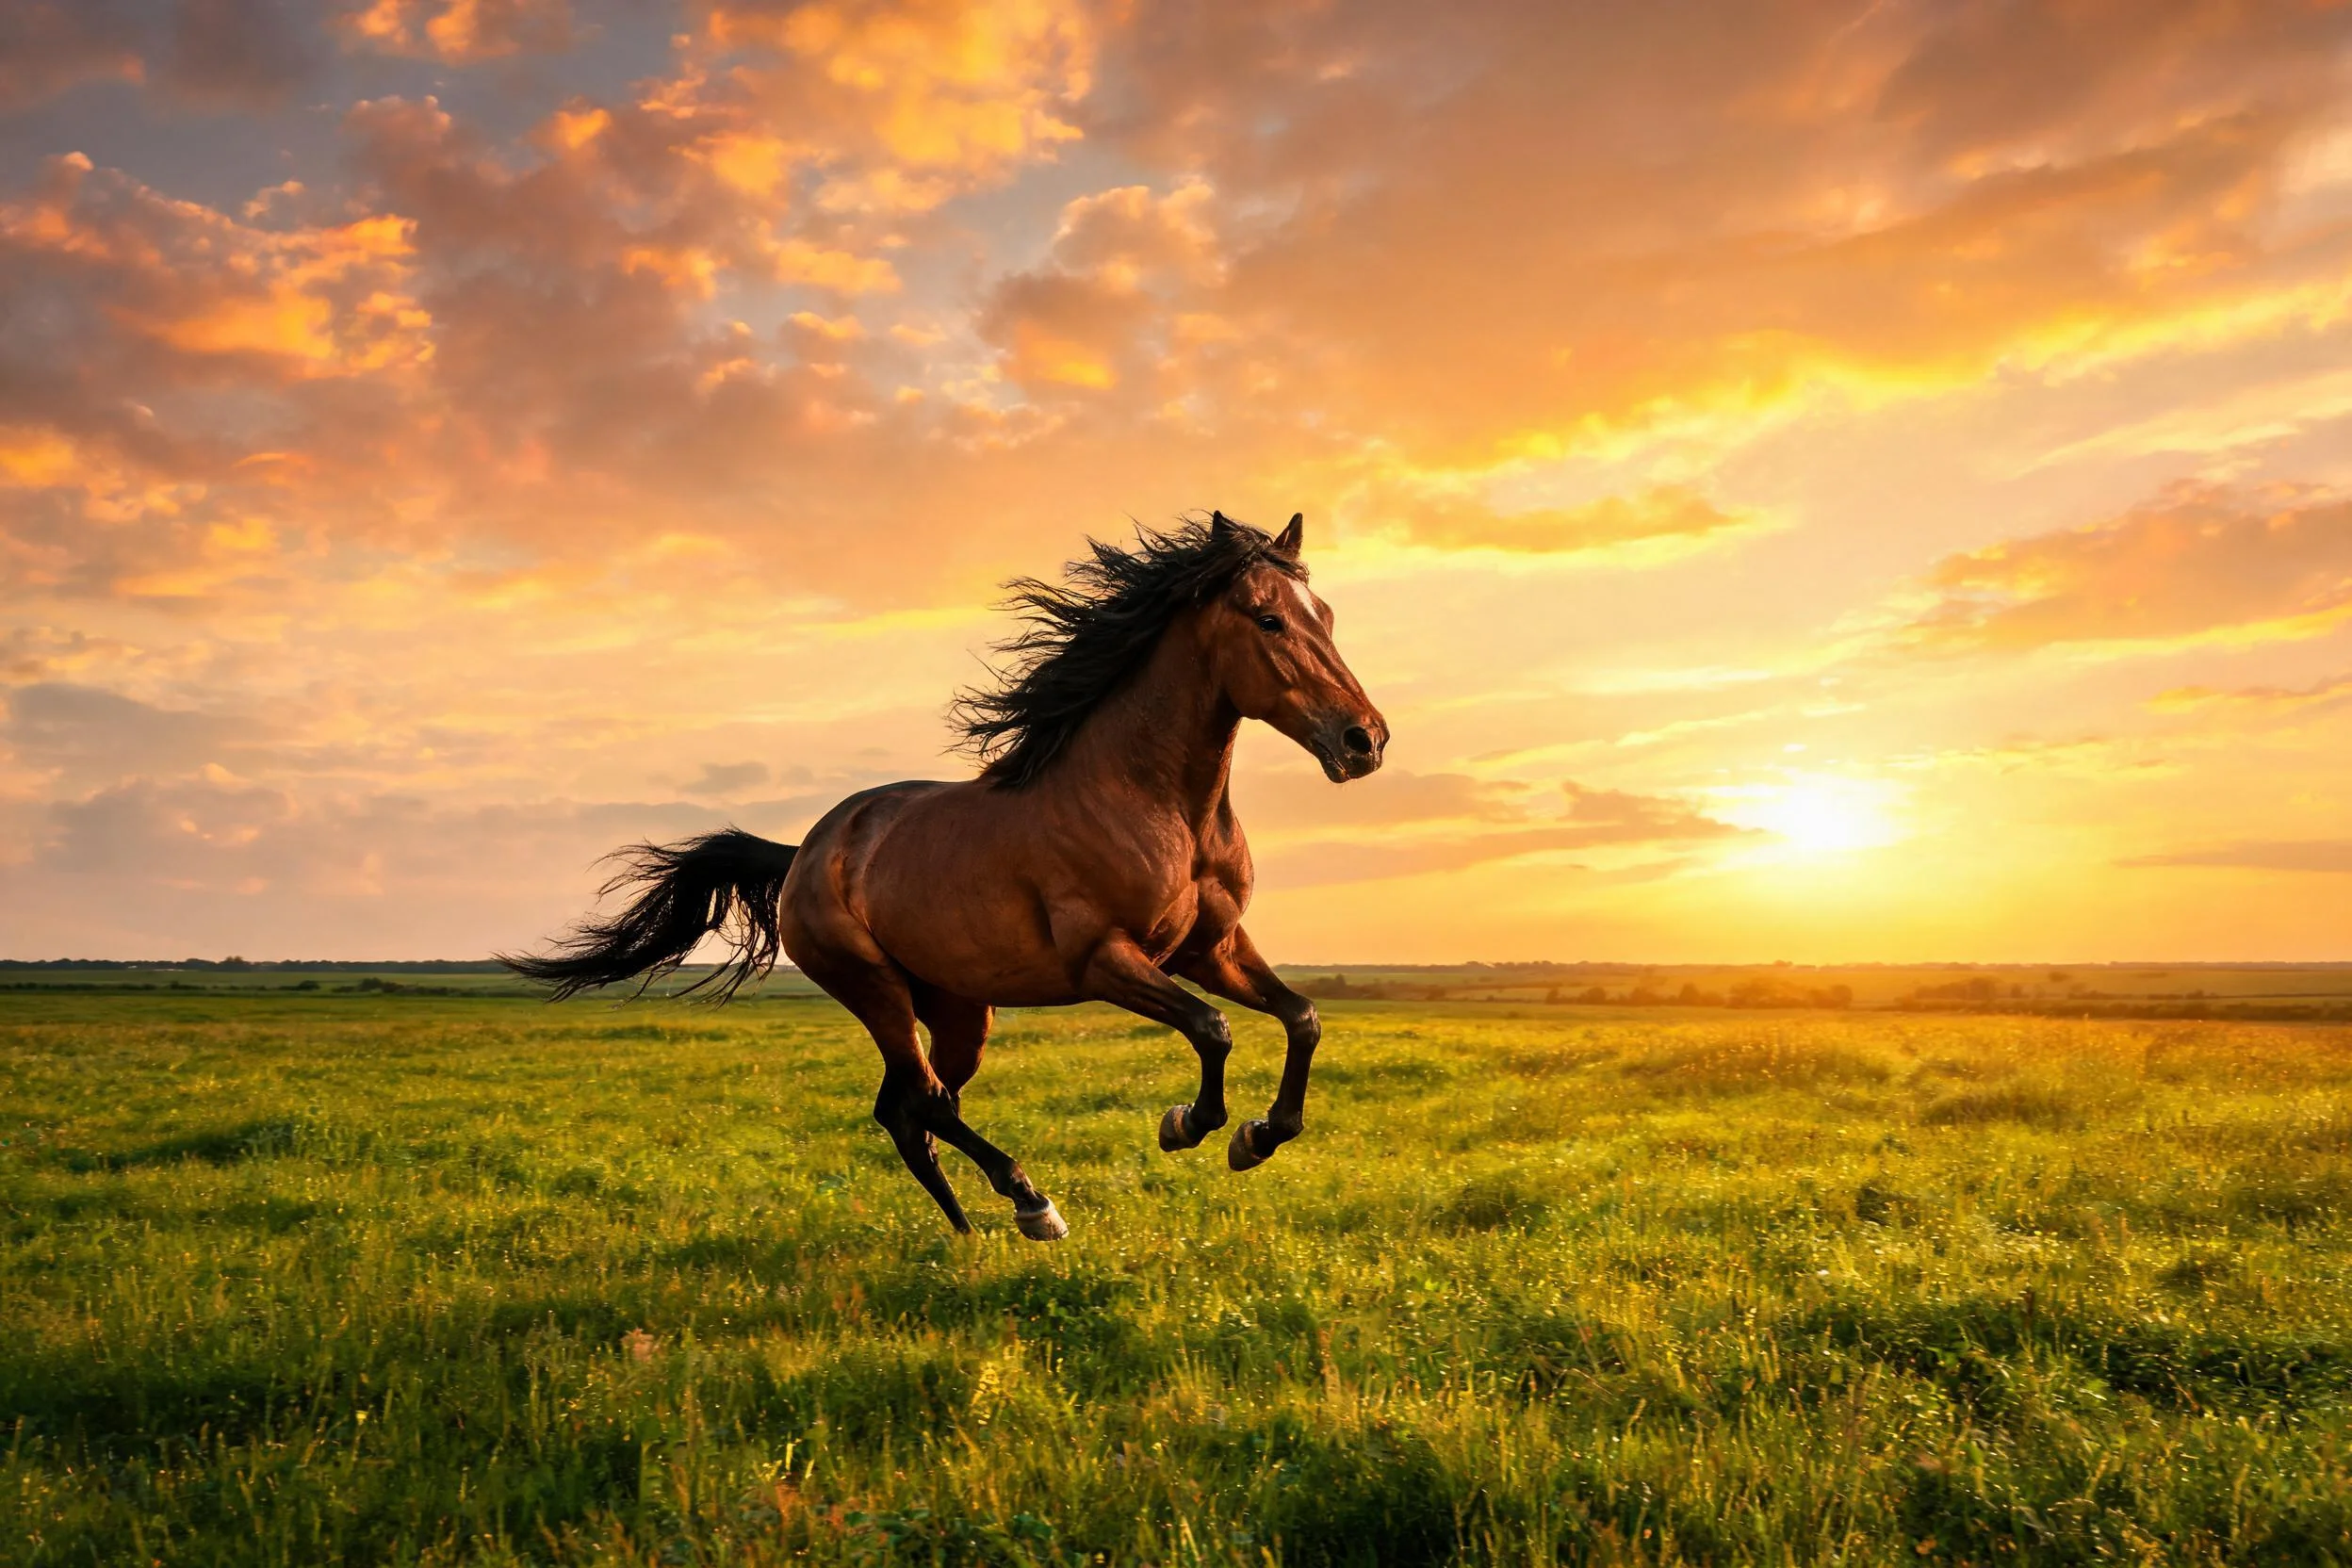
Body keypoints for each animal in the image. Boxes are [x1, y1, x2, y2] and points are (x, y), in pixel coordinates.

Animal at [504, 511, 1388, 1241]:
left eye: (1327, 616)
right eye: (1268, 618)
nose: (1365, 741)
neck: (1157, 804)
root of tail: (806, 853)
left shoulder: (1211, 949)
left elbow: (1302, 1017)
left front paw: (1259, 1136)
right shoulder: (1106, 958)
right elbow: (1213, 1029)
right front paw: (1189, 1125)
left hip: (962, 1009)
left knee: (909, 1109)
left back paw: (969, 1230)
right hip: (875, 989)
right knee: (923, 1100)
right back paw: (1033, 1205)